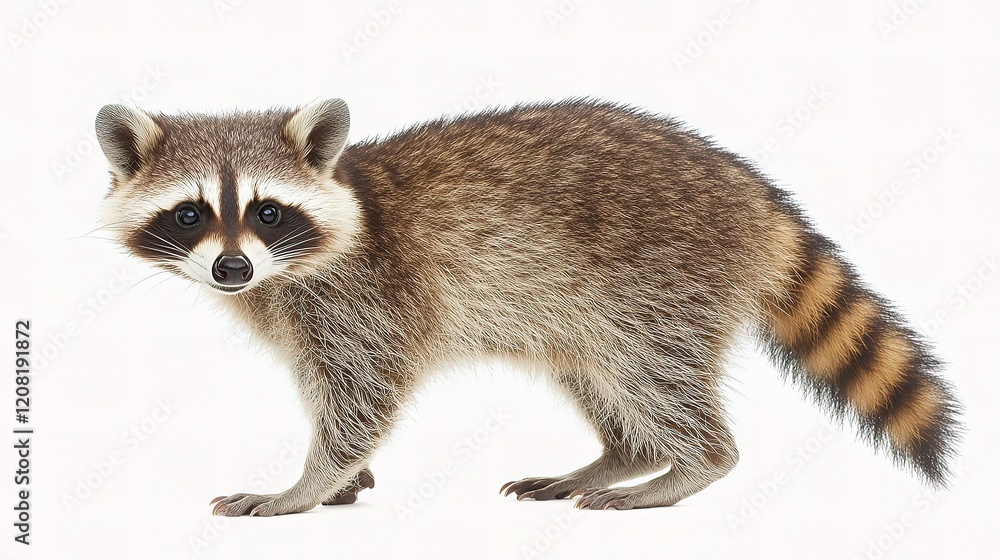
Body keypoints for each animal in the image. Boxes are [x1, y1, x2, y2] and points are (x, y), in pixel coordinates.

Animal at [95, 98, 961, 515]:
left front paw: (307, 482)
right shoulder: (300, 307)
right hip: (586, 303)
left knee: (655, 372)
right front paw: (338, 478)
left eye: (268, 211)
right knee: (601, 374)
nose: (232, 267)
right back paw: (623, 454)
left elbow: (362, 391)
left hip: (662, 275)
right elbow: (329, 386)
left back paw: (691, 464)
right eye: (191, 214)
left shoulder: (368, 294)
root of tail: (750, 188)